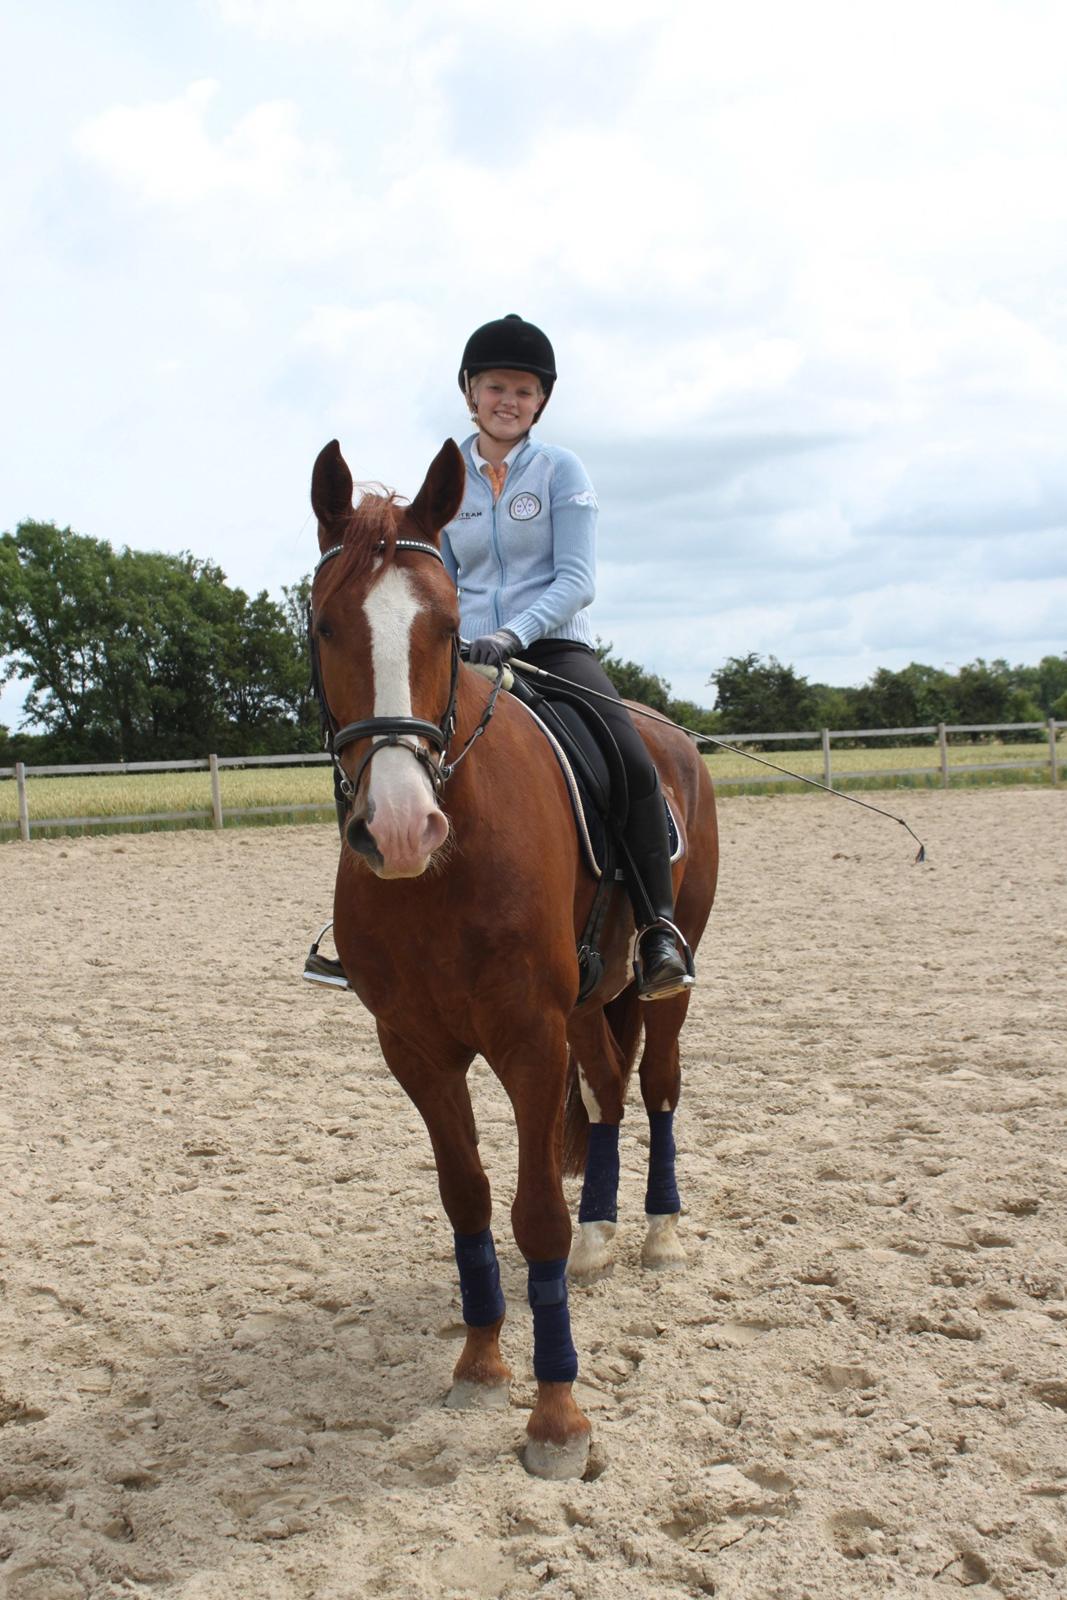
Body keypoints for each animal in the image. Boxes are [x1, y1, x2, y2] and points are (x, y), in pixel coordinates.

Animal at [313, 435, 723, 1472]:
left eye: (450, 626)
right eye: (327, 625)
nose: (400, 829)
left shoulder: (528, 1037)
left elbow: (531, 1208)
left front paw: (557, 1415)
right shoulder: (415, 1048)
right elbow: (466, 1198)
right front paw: (479, 1362)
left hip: (660, 980)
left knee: (656, 1084)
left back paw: (657, 1231)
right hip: (586, 1000)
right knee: (609, 1091)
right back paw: (599, 1238)